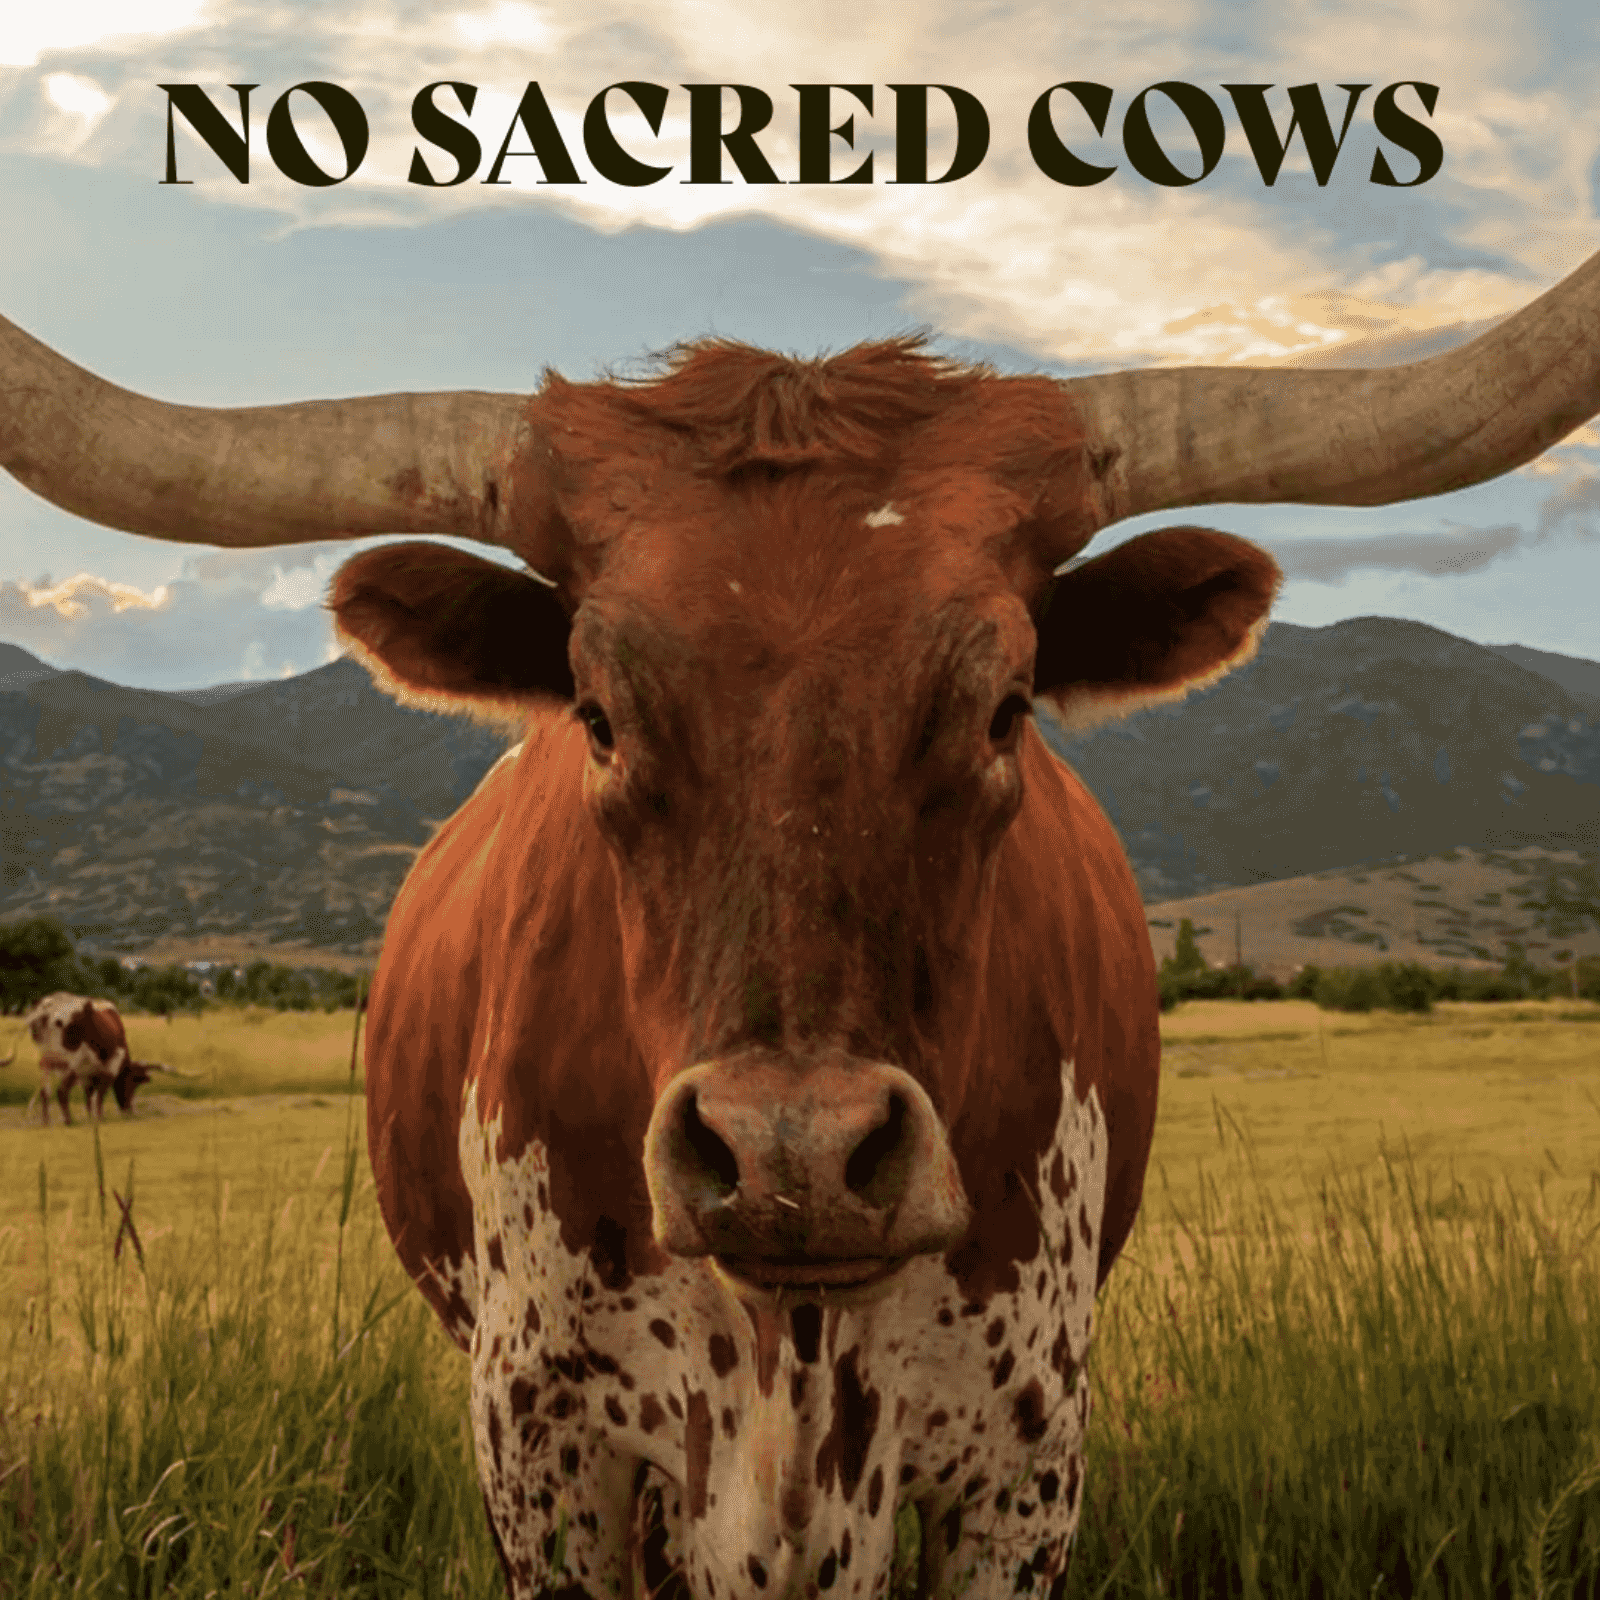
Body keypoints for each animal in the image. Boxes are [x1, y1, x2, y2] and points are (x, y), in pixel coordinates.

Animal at [20, 991, 180, 1125]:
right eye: (133, 1083)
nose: (129, 1111)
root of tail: (49, 1004)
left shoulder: (87, 1074)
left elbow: (89, 1095)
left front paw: (90, 1117)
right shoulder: (110, 1067)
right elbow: (100, 1094)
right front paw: (99, 1118)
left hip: (45, 1062)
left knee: (45, 1091)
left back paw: (46, 1121)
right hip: (71, 1061)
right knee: (62, 1091)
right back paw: (69, 1121)